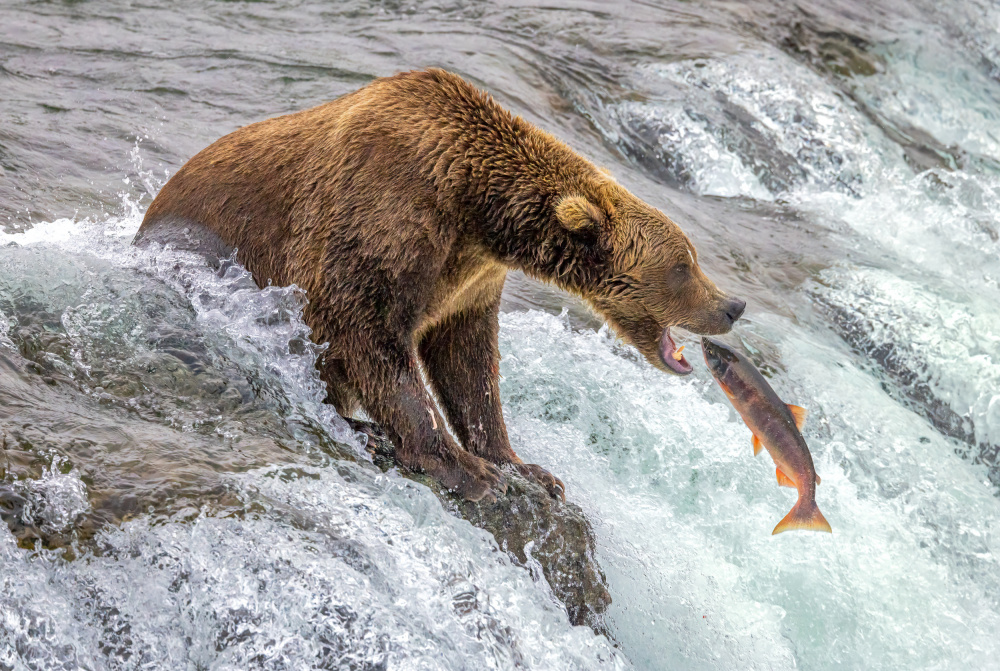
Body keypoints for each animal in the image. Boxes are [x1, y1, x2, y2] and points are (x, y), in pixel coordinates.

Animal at [135, 68, 744, 504]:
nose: (733, 305)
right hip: (208, 251)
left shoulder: (469, 279)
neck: (476, 210)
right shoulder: (383, 215)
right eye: (684, 265)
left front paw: (523, 467)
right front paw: (468, 470)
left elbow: (468, 365)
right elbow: (368, 332)